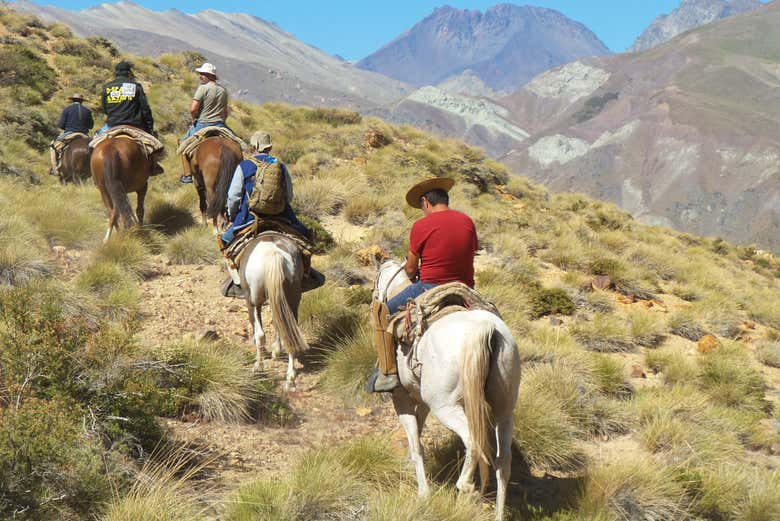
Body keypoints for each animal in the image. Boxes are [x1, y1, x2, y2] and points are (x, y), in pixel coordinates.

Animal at [239, 234, 310, 388]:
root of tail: (274, 253)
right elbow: (278, 323)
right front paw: (276, 350)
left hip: (253, 300)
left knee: (260, 334)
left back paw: (258, 367)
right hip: (291, 299)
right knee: (289, 332)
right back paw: (290, 377)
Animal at [374, 258, 520, 516]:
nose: (374, 295)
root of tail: (484, 329)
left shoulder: (401, 397)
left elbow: (415, 441)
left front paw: (423, 493)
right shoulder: (423, 400)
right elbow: (419, 429)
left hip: (446, 407)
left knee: (473, 442)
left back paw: (466, 485)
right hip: (504, 408)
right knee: (504, 462)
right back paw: (498, 513)